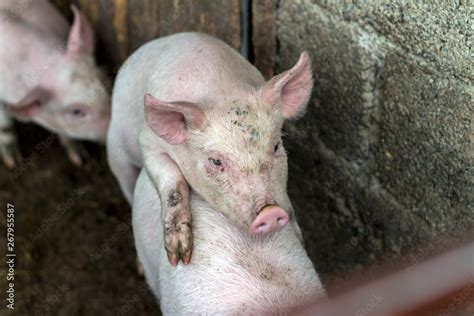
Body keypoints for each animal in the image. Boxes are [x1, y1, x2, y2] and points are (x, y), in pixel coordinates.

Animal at [106, 31, 312, 264]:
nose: (271, 213)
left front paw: (298, 237)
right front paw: (180, 256)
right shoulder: (148, 142)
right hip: (116, 152)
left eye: (276, 147)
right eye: (216, 161)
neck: (220, 88)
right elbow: (172, 183)